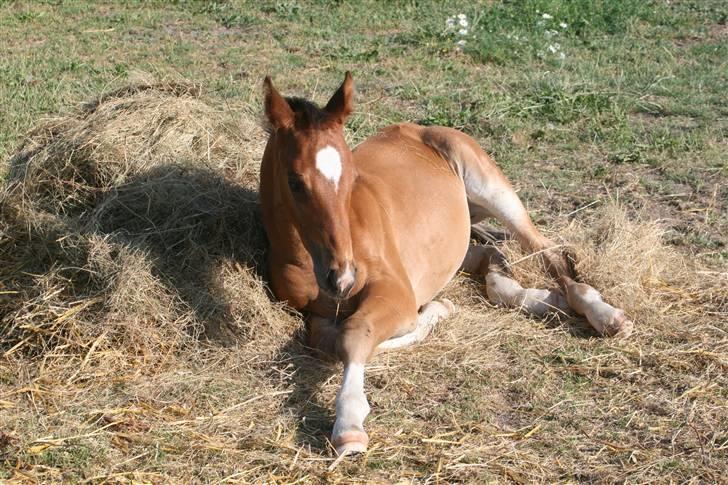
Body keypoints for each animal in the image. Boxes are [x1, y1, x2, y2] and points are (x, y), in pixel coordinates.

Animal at [258, 72, 636, 458]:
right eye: (295, 181)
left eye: (351, 177)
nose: (342, 278)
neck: (307, 258)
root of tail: (419, 128)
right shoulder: (316, 314)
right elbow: (331, 340)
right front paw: (439, 310)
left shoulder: (396, 292)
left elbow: (354, 334)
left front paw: (349, 424)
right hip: (456, 240)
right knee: (492, 258)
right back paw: (542, 300)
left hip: (492, 189)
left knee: (548, 251)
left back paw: (606, 315)